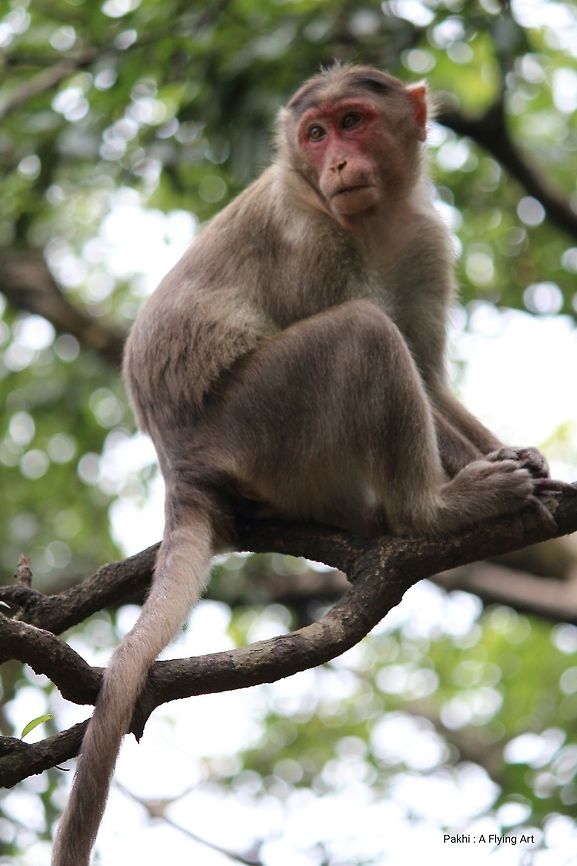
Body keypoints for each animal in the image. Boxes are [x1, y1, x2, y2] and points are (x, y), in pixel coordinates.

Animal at [51, 64, 573, 866]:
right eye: (316, 132)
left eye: (353, 121)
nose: (337, 162)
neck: (372, 221)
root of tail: (181, 470)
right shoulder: (309, 240)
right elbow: (392, 353)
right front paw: (492, 484)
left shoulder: (425, 239)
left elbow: (430, 377)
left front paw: (519, 455)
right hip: (261, 427)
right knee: (362, 332)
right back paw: (431, 508)